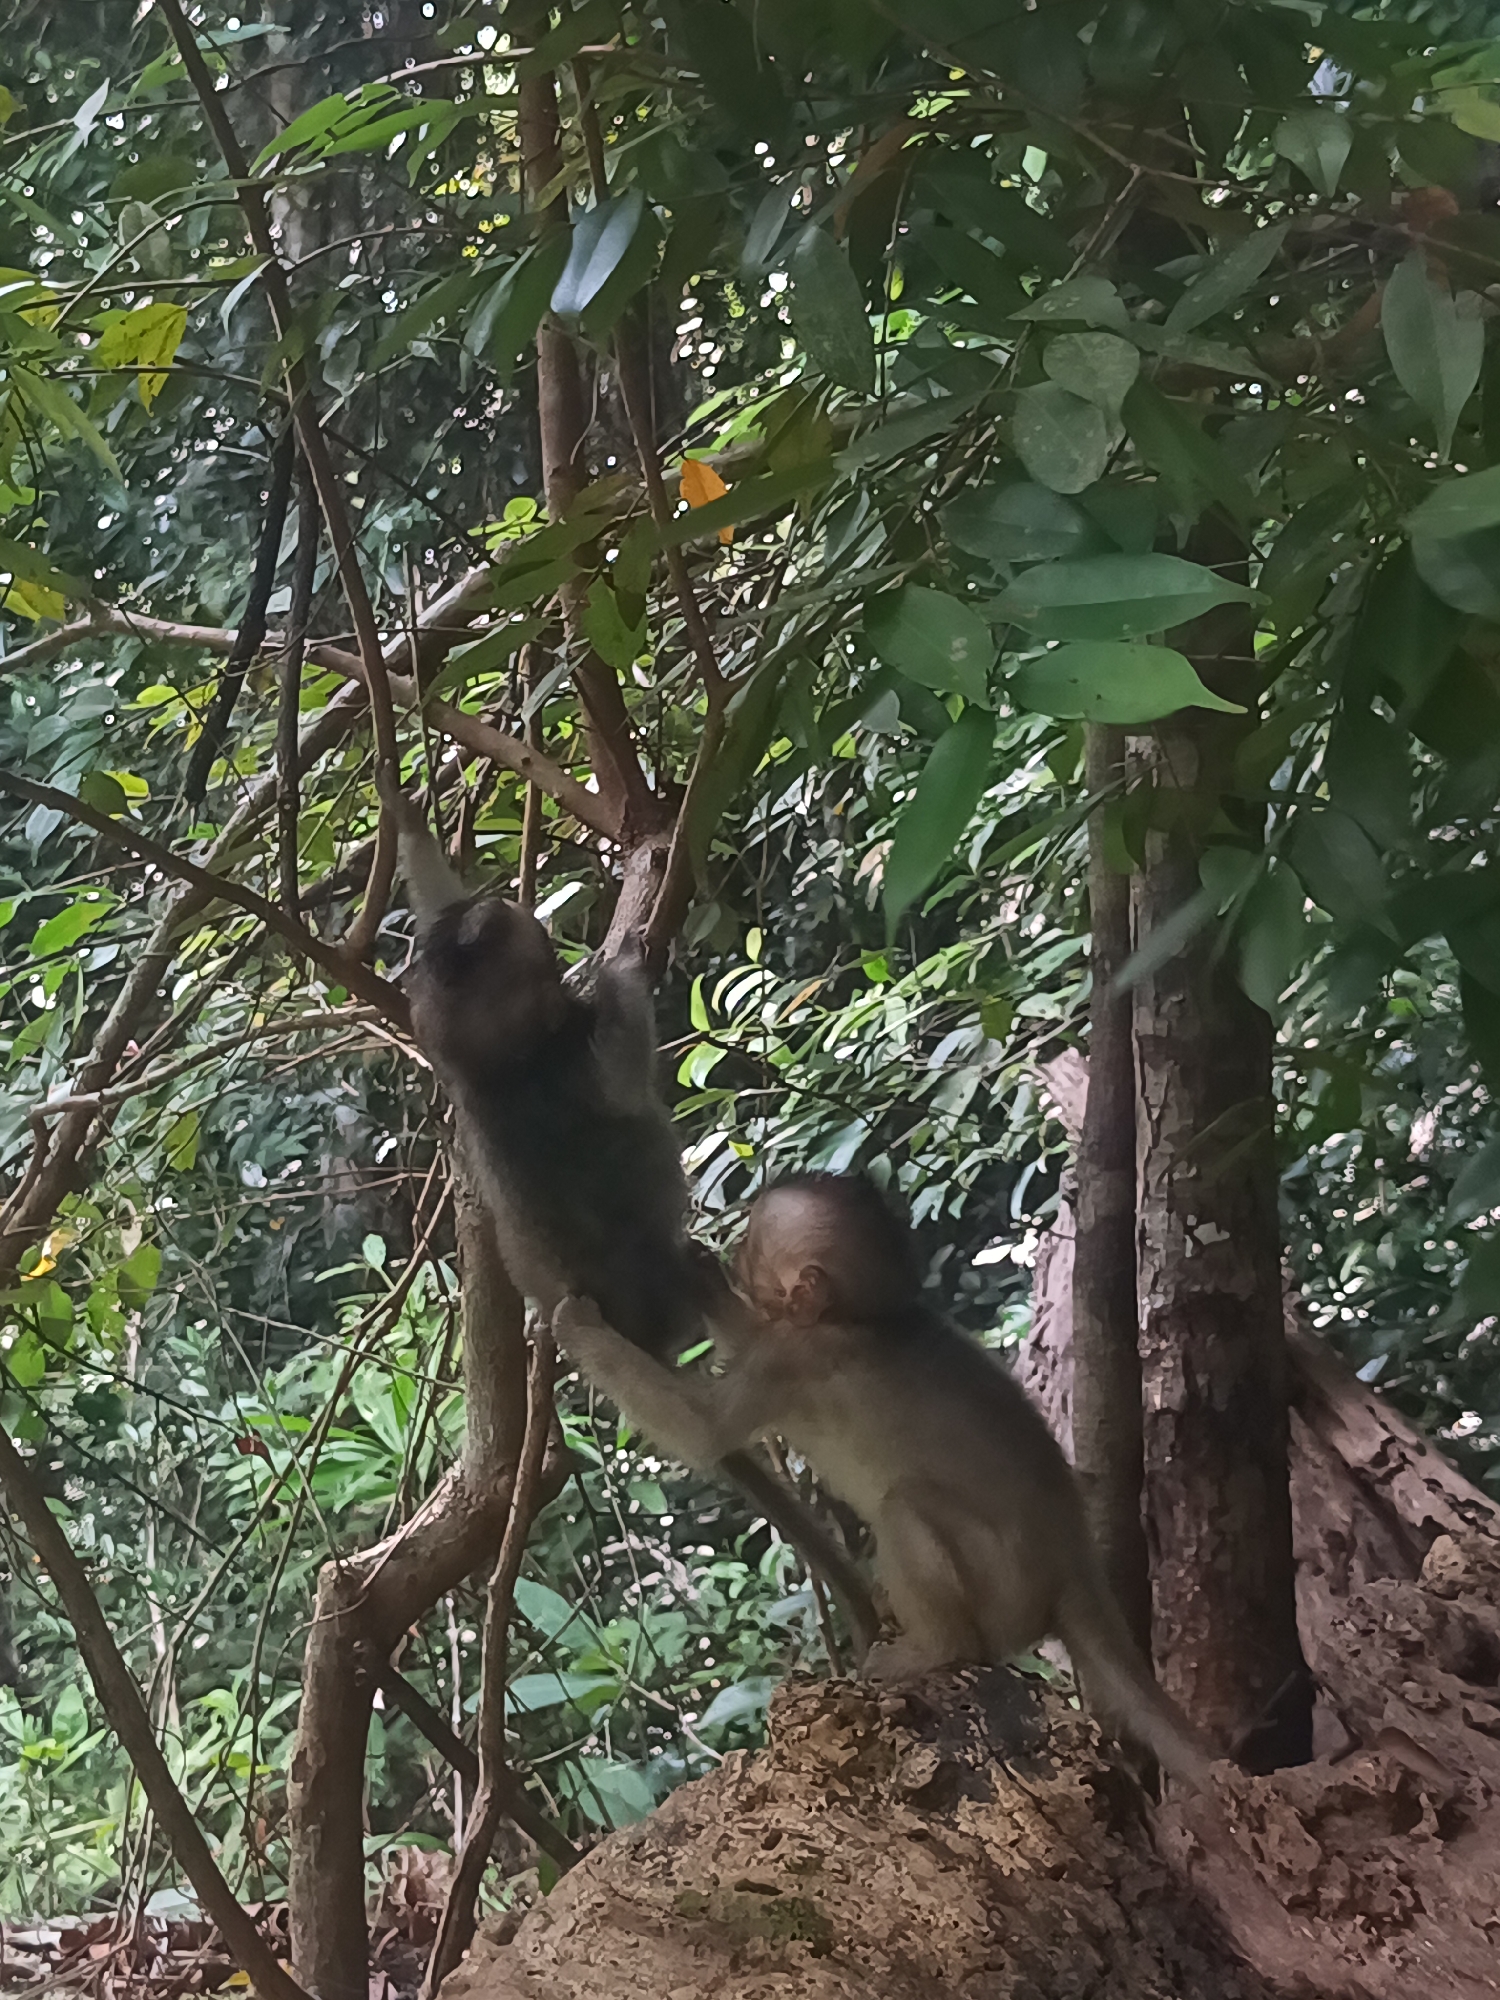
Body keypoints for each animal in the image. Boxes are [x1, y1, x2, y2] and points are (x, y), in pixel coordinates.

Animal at [379, 771, 879, 1652]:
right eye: (533, 953)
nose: (549, 939)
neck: (497, 1067)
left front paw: (407, 820)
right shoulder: (568, 1068)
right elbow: (621, 1071)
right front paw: (616, 967)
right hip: (654, 1288)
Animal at [552, 1171, 1216, 1789]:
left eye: (753, 1256)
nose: (731, 1255)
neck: (851, 1318)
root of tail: (1076, 1564)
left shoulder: (792, 1359)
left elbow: (704, 1429)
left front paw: (580, 1328)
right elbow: (740, 1341)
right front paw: (700, 1274)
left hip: (1008, 1590)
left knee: (905, 1508)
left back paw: (934, 1649)